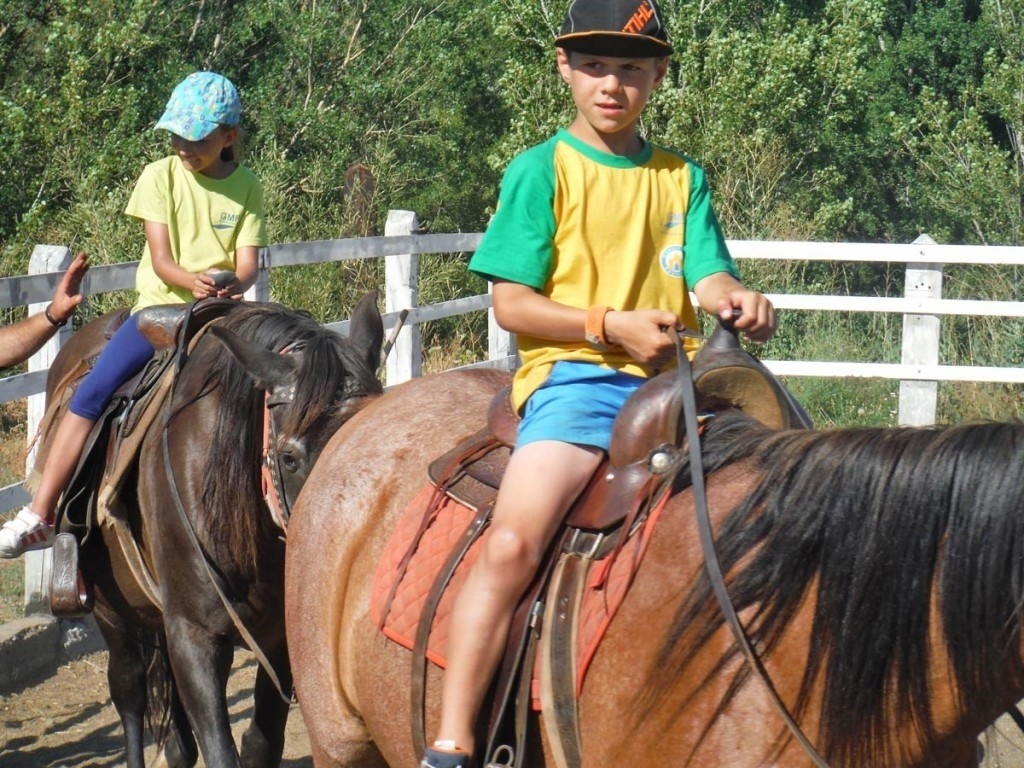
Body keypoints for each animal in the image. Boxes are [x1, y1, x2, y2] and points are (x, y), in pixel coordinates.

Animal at [38, 292, 385, 768]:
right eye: (290, 457)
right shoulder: (194, 638)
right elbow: (220, 749)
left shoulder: (279, 639)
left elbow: (261, 744)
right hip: (113, 614)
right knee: (129, 693)